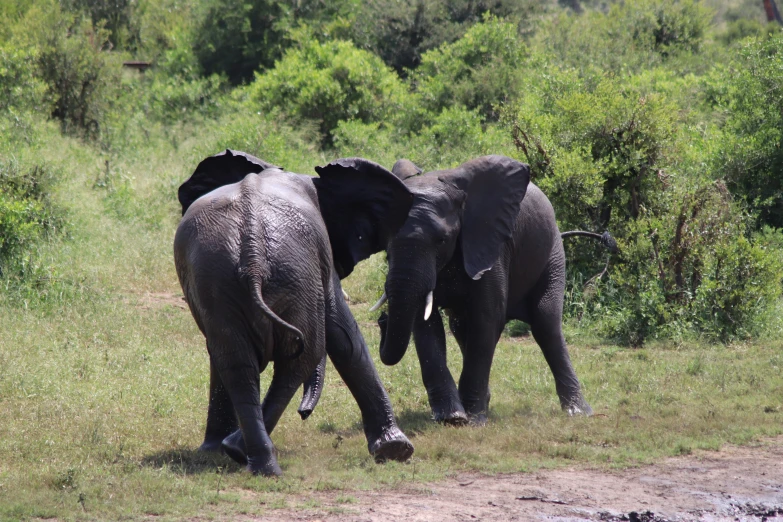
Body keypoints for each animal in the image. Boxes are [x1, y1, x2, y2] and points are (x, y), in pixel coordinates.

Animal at [172, 148, 416, 474]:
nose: (304, 414)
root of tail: (251, 253)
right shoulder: (322, 258)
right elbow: (343, 333)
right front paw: (396, 451)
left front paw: (213, 451)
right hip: (292, 274)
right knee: (303, 356)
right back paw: (246, 455)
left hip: (221, 276)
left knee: (237, 363)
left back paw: (247, 458)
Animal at [358, 153, 616, 422]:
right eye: (386, 243)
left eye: (441, 240)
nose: (382, 319)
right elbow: (427, 324)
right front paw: (452, 417)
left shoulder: (491, 243)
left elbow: (487, 317)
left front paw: (472, 419)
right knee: (460, 326)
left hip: (552, 253)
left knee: (545, 322)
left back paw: (578, 412)